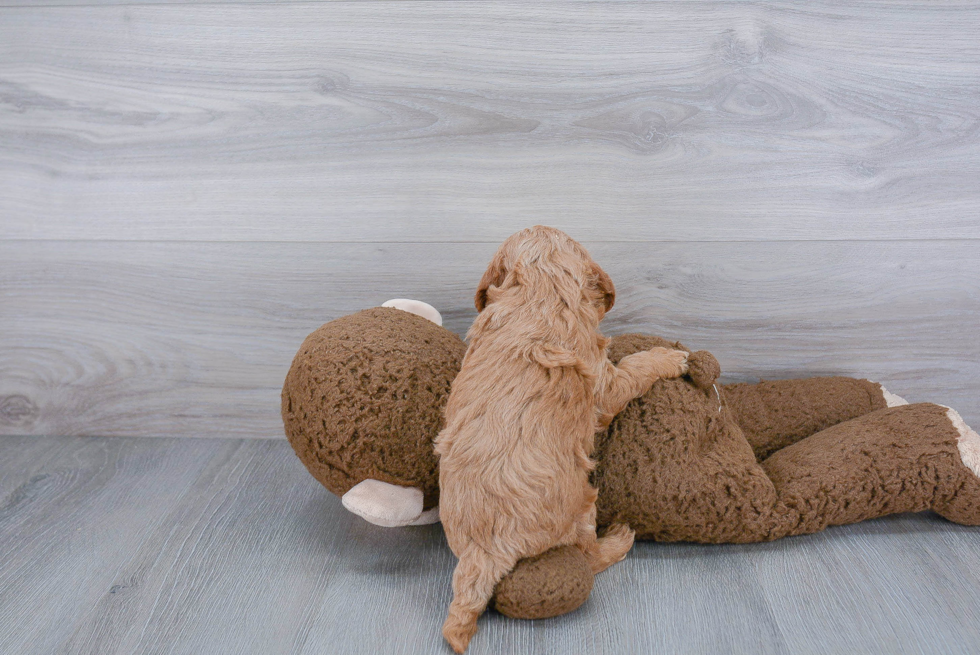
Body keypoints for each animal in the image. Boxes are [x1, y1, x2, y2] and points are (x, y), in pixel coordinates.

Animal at [436, 228, 688, 652]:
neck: (539, 290)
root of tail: (481, 553)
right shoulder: (603, 384)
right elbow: (634, 368)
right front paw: (668, 358)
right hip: (582, 504)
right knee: (589, 555)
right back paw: (618, 540)